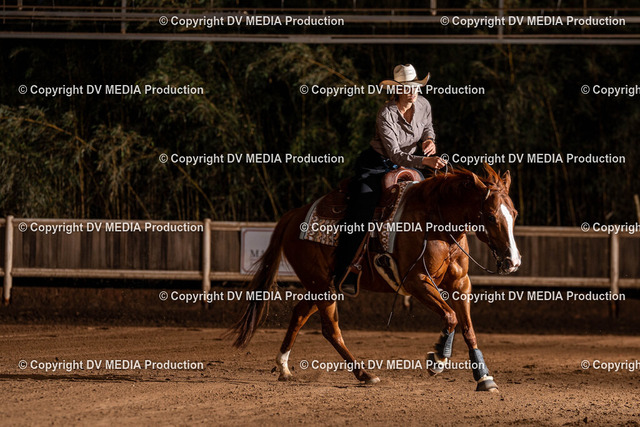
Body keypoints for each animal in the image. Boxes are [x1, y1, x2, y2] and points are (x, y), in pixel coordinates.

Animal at [230, 164, 521, 392]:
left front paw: (483, 377)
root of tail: (293, 216)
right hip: (321, 286)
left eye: (514, 214)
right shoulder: (415, 281)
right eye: (491, 216)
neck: (436, 222)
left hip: (324, 286)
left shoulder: (461, 283)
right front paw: (438, 359)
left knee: (300, 313)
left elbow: (468, 328)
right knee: (330, 329)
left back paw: (284, 367)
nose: (513, 261)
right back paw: (364, 374)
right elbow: (450, 316)